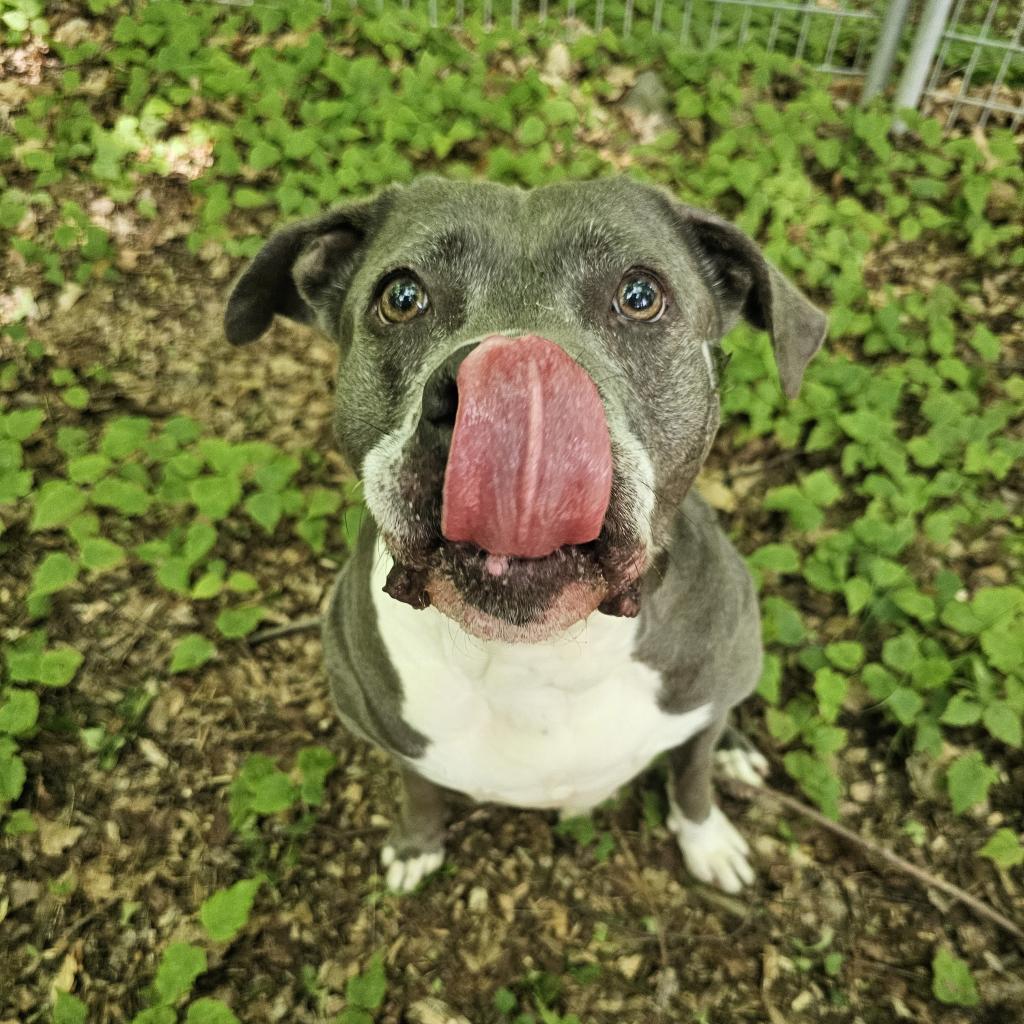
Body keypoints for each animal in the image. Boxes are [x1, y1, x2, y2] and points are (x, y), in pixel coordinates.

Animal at [224, 178, 823, 897]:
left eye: (640, 296)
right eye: (402, 297)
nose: (510, 396)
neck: (537, 660)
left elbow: (693, 774)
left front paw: (707, 840)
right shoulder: (392, 736)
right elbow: (418, 789)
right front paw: (415, 845)